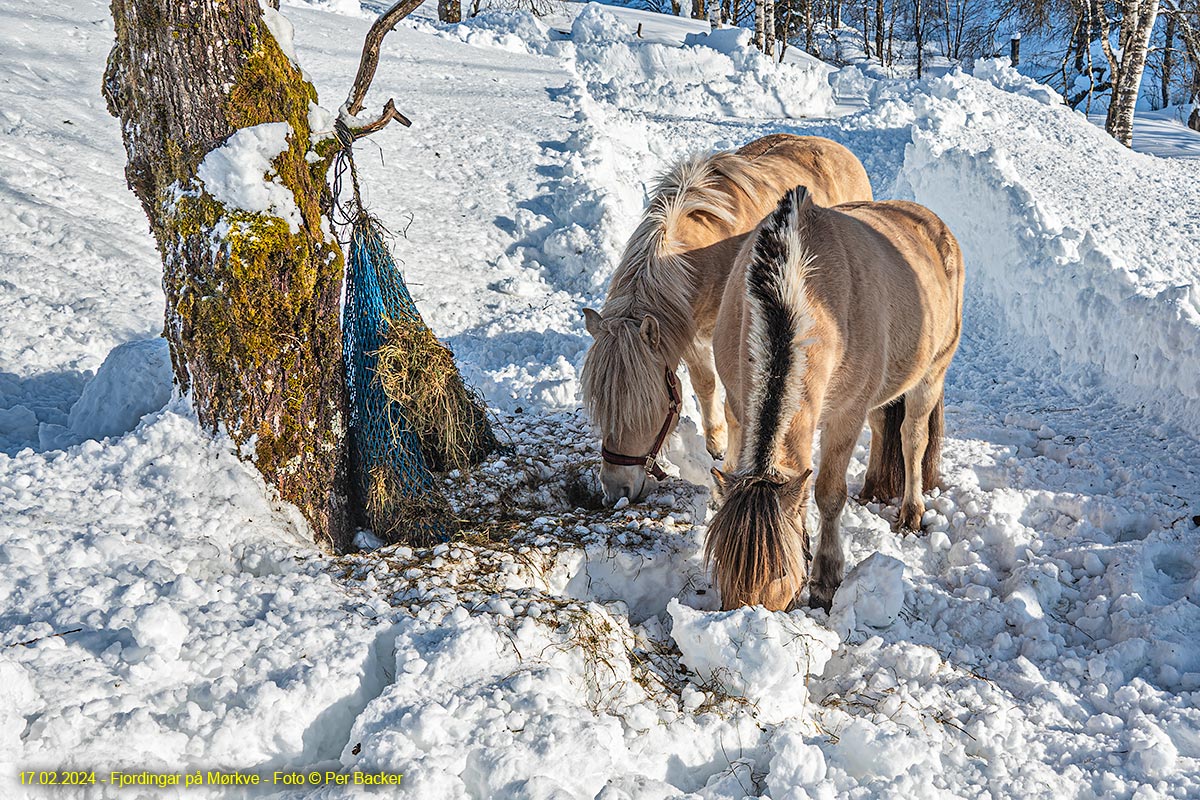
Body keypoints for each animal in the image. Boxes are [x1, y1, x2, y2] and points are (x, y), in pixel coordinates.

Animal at [576, 133, 868, 503]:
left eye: (648, 408)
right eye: (600, 408)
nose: (617, 490)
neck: (701, 255)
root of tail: (837, 149)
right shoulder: (687, 334)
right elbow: (704, 384)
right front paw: (714, 442)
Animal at [705, 185, 960, 614]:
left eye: (780, 570)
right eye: (724, 562)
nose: (747, 615)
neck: (796, 286)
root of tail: (933, 224)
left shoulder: (846, 417)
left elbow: (828, 494)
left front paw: (826, 579)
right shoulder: (739, 402)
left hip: (930, 375)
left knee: (913, 439)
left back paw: (910, 513)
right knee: (883, 425)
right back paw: (873, 487)